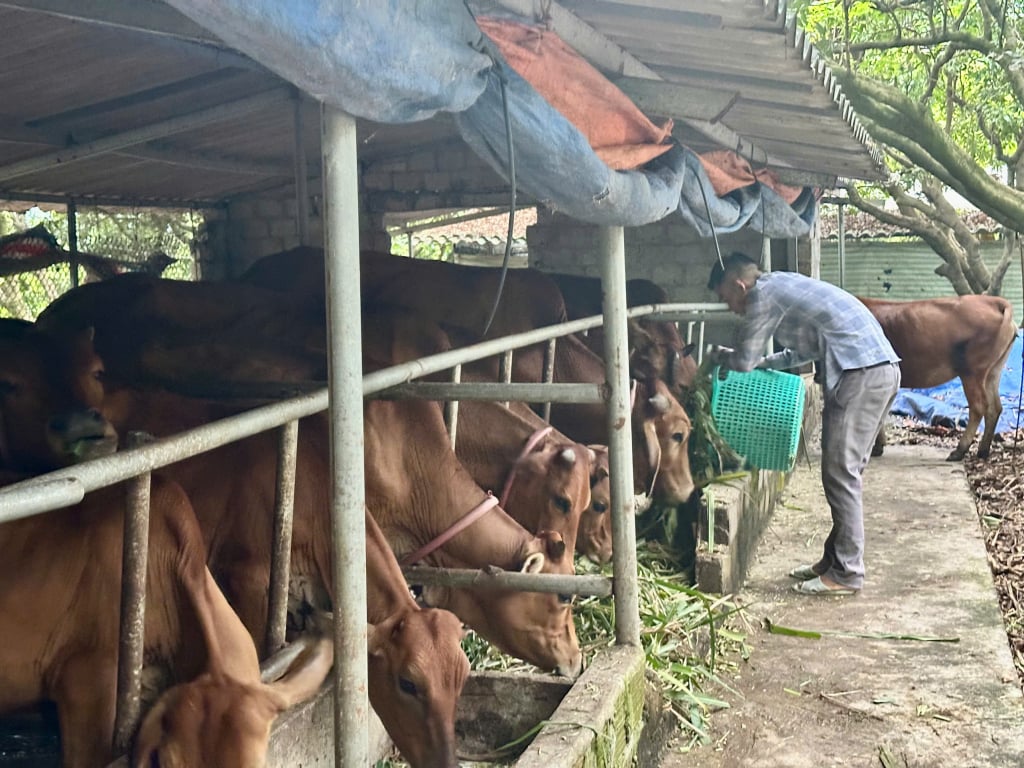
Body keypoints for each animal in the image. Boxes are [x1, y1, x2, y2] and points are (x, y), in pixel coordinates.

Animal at [860, 296, 1019, 460]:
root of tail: (994, 302)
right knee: (995, 407)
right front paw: (877, 447)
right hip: (993, 371)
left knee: (979, 406)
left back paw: (960, 451)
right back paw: (982, 451)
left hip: (972, 372)